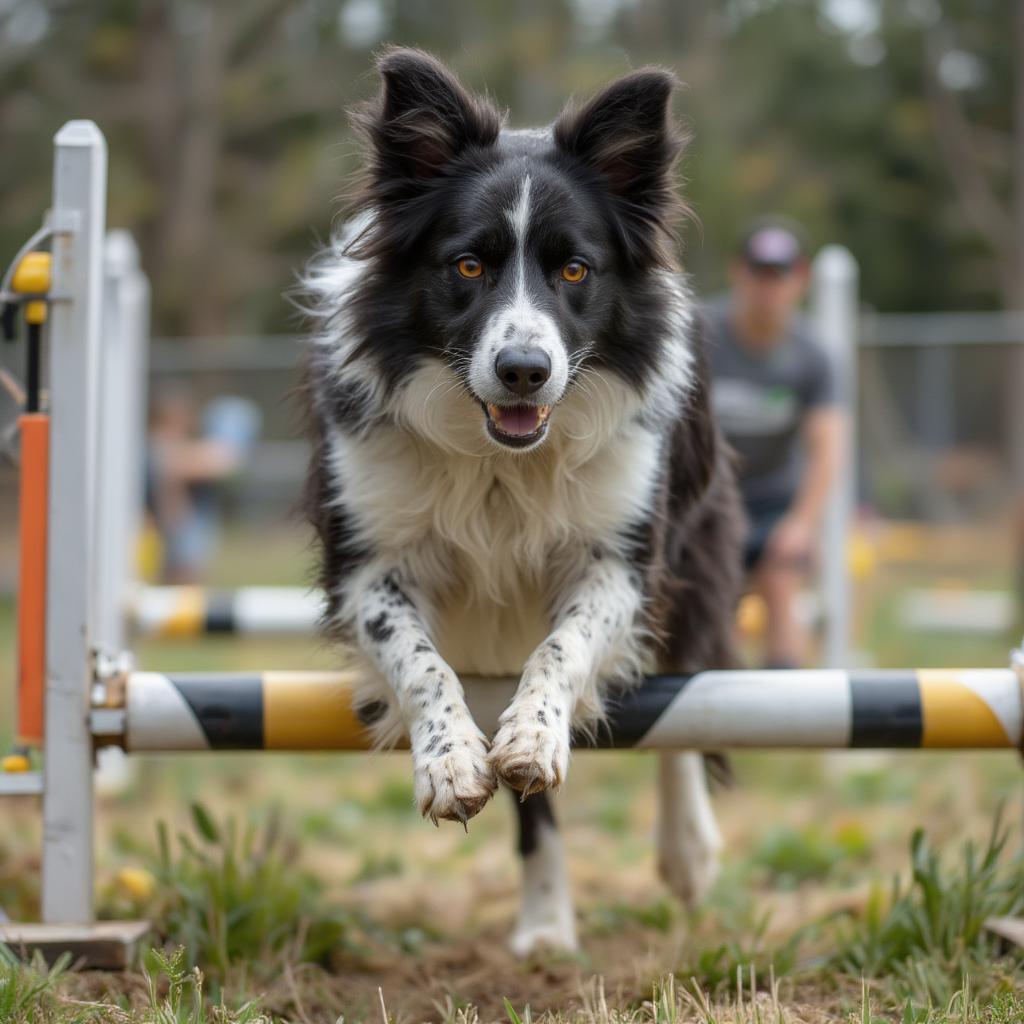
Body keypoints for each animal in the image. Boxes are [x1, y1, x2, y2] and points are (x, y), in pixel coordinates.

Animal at [299, 48, 741, 954]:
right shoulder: (366, 563)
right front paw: (451, 761)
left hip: (696, 553)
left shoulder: (621, 559)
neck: (500, 462)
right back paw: (544, 926)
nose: (524, 371)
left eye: (575, 269)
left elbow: (567, 650)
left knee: (685, 695)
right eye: (468, 265)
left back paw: (685, 852)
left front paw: (534, 737)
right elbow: (419, 661)